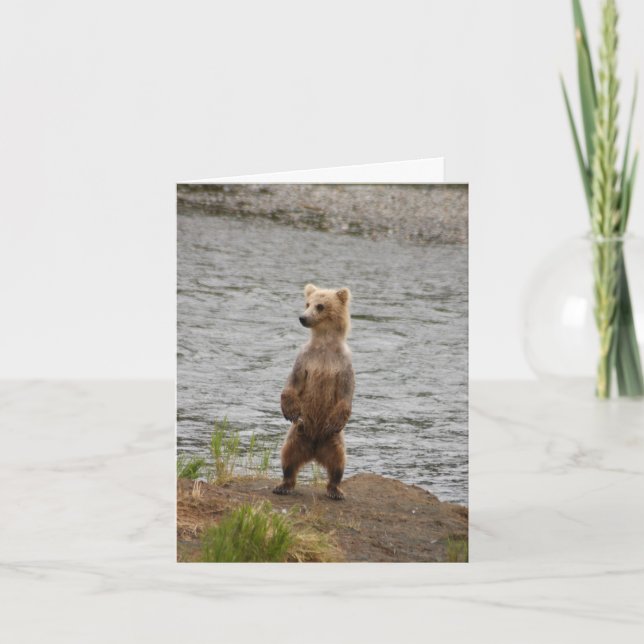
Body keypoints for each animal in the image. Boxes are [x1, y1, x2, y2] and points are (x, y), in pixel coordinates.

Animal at [273, 283, 355, 500]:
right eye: (307, 303)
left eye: (320, 306)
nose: (303, 317)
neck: (324, 344)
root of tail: (315, 450)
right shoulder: (305, 358)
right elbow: (293, 382)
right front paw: (290, 410)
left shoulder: (343, 364)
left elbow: (346, 393)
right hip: (297, 434)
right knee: (288, 457)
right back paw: (283, 485)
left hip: (334, 439)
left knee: (338, 462)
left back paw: (335, 490)